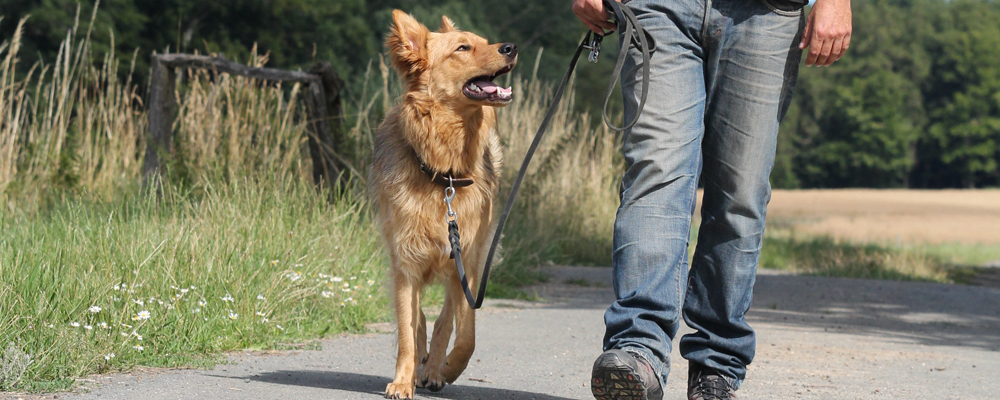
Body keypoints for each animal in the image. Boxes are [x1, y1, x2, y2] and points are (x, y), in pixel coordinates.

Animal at [370, 9, 520, 400]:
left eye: (484, 41)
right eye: (462, 48)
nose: (511, 47)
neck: (444, 174)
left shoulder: (466, 263)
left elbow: (463, 332)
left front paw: (447, 368)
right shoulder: (405, 264)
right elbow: (408, 331)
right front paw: (403, 380)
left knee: (445, 319)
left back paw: (434, 369)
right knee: (418, 319)